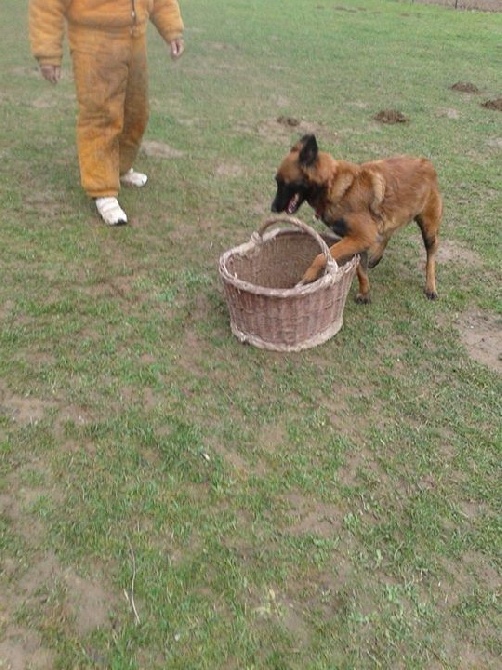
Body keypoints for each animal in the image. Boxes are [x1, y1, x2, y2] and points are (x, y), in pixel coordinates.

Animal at [270, 135, 444, 304]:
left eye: (283, 183)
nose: (273, 208)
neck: (334, 186)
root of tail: (427, 163)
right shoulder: (358, 240)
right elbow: (361, 270)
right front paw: (365, 293)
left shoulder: (361, 237)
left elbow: (323, 255)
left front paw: (309, 275)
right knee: (388, 233)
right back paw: (376, 257)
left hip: (428, 228)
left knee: (431, 255)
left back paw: (430, 287)